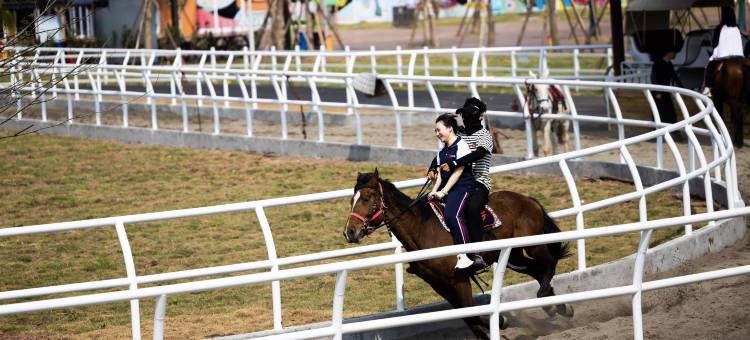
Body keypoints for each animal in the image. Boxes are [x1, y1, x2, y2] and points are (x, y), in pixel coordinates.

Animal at [344, 170, 572, 340]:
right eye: (352, 200)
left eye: (366, 198)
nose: (350, 232)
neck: (423, 230)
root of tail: (527, 199)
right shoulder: (439, 285)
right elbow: (468, 316)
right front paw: (496, 324)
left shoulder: (459, 279)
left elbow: (471, 311)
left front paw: (501, 320)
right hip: (513, 257)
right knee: (537, 270)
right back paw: (557, 307)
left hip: (532, 246)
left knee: (549, 263)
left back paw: (551, 301)